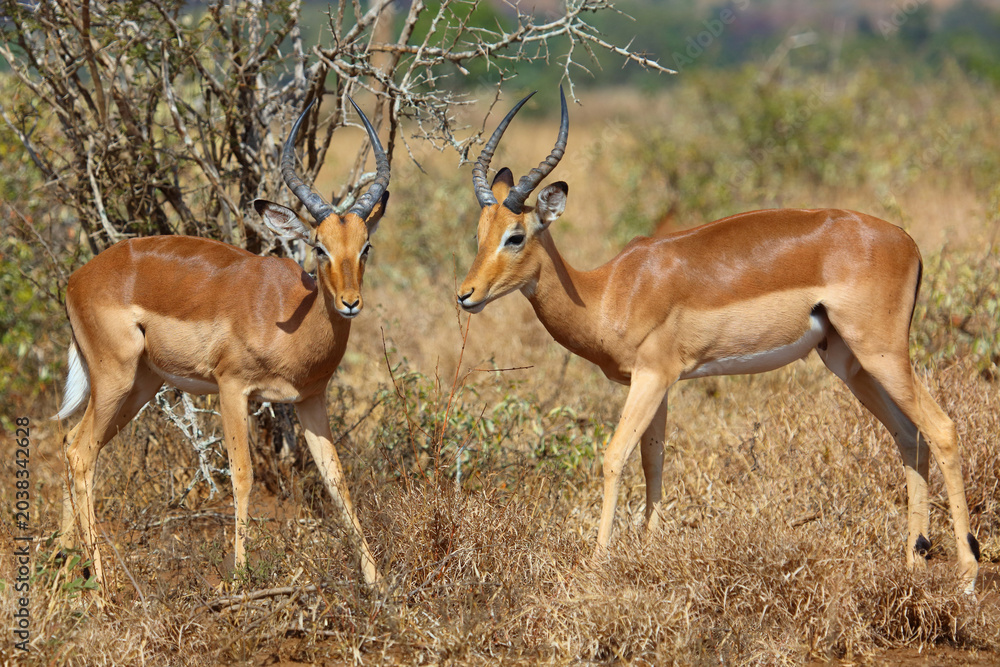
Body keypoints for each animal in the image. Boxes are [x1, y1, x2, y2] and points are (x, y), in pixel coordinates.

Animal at [52, 99, 388, 588]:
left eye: (365, 247)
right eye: (319, 246)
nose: (349, 303)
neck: (290, 315)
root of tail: (77, 278)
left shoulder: (310, 399)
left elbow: (336, 480)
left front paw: (376, 581)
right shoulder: (233, 388)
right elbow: (242, 474)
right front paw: (242, 574)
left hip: (139, 387)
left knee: (72, 442)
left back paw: (61, 562)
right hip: (115, 378)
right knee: (79, 453)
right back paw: (99, 585)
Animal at [457, 89, 980, 592]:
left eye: (516, 235)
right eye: (479, 232)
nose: (466, 295)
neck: (608, 292)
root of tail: (907, 241)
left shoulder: (651, 378)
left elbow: (614, 456)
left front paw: (598, 565)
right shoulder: (657, 383)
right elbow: (652, 461)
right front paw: (650, 552)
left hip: (883, 353)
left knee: (942, 429)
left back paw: (968, 574)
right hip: (849, 363)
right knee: (910, 437)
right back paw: (913, 561)